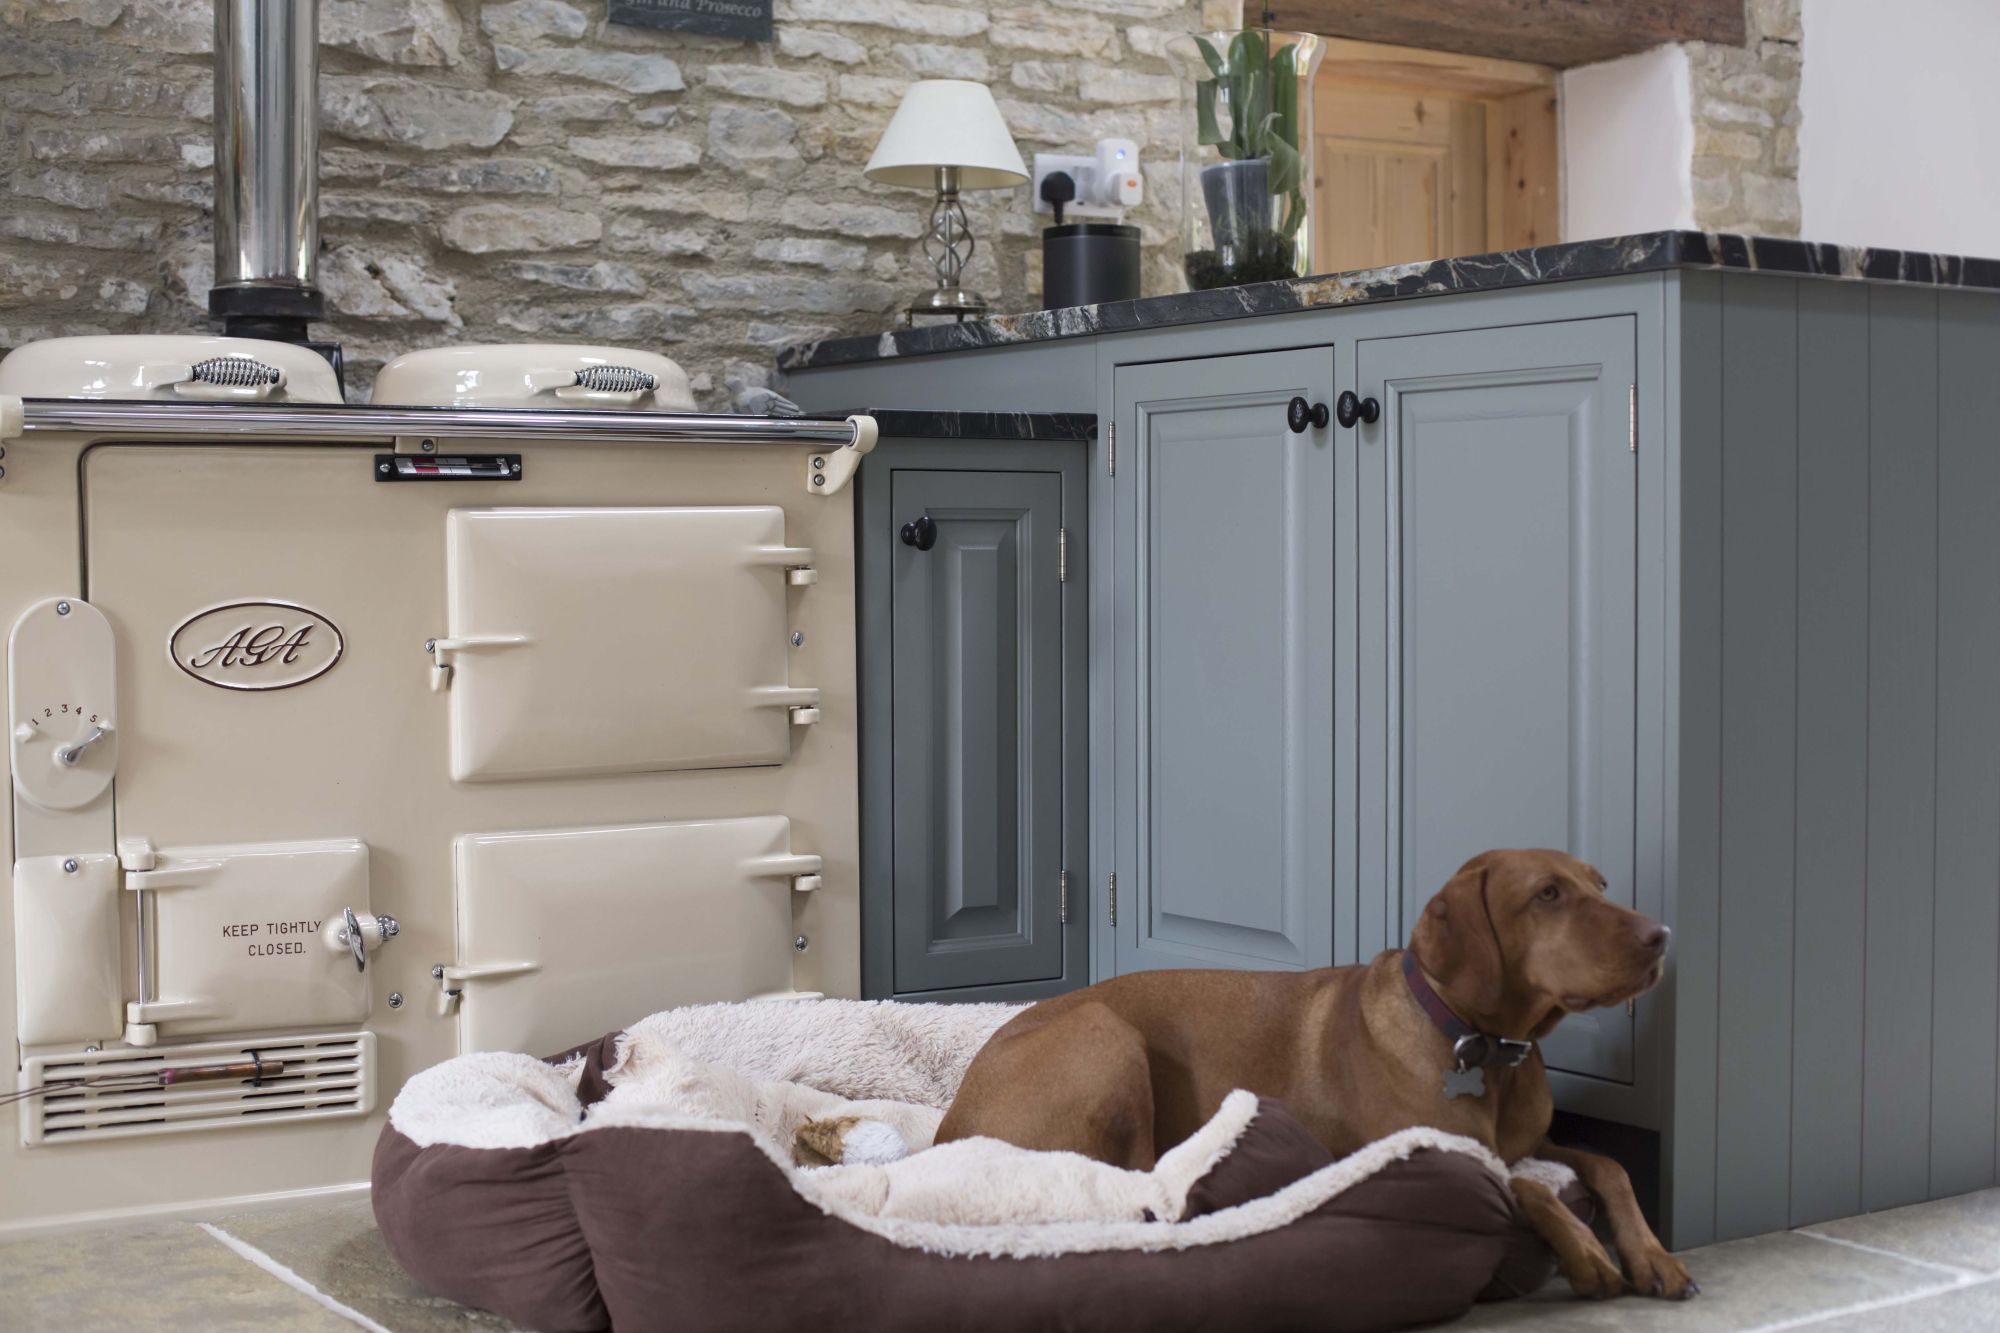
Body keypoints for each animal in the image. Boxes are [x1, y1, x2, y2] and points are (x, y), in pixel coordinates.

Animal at [944, 844, 1696, 1288]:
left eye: (1601, 883)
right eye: (1547, 894)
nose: (1662, 935)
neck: (1484, 1047)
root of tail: (949, 1126)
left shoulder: (1535, 1140)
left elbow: (1610, 1164)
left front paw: (1653, 1254)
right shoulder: (1427, 1145)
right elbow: (1524, 1185)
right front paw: (1588, 1251)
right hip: (1106, 1033)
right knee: (1138, 1187)